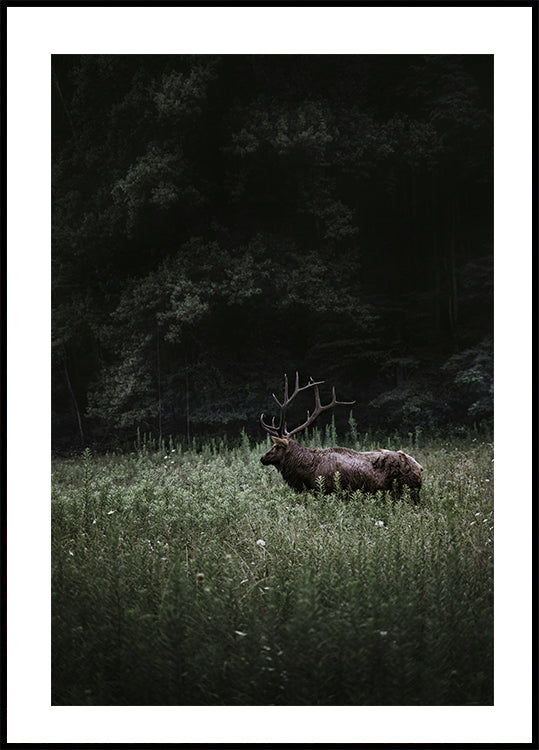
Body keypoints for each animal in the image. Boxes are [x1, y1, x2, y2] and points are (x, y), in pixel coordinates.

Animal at [260, 373, 423, 502]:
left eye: (275, 446)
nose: (262, 458)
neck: (307, 473)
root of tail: (419, 468)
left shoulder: (326, 491)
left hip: (407, 492)